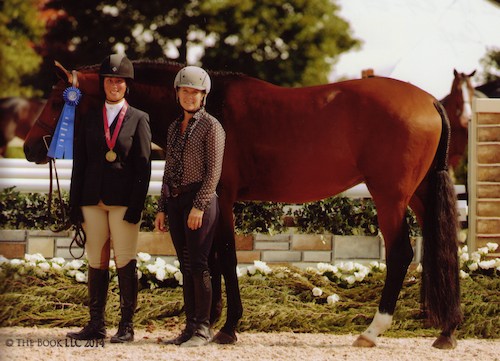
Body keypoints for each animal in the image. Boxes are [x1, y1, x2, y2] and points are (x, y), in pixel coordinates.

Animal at [22, 59, 460, 348]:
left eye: (59, 100)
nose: (29, 148)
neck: (208, 109)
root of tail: (429, 102)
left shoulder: (221, 198)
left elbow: (226, 257)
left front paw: (227, 327)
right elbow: (214, 259)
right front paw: (209, 320)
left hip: (390, 197)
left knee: (401, 253)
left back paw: (372, 330)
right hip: (419, 195)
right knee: (440, 251)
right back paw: (446, 330)